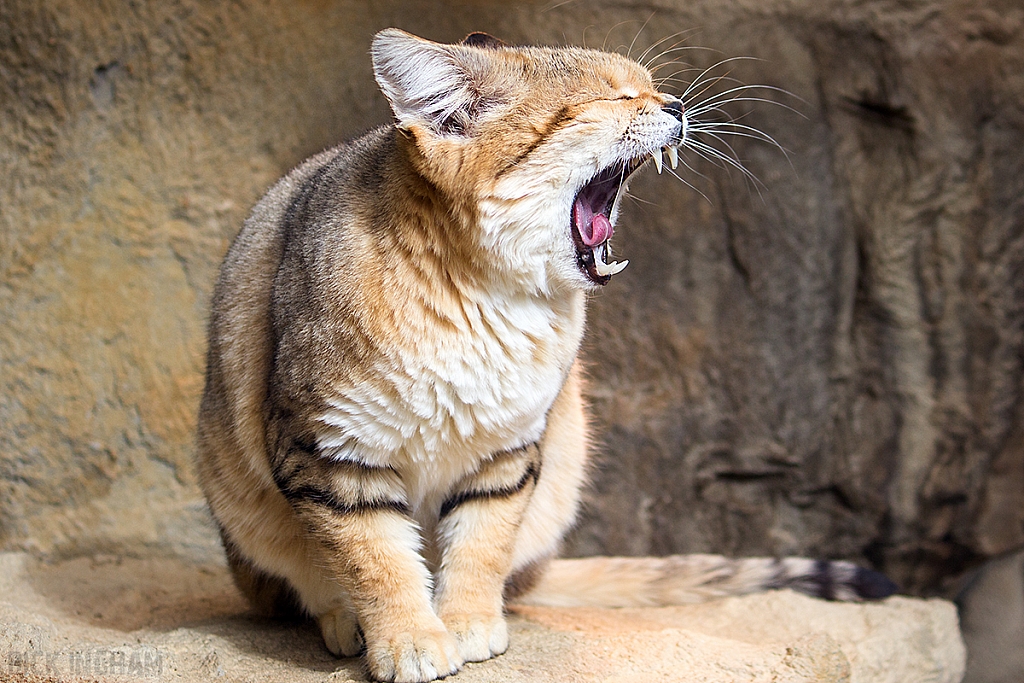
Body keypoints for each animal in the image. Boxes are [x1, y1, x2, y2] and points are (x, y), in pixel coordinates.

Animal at [193, 28, 897, 683]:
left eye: (647, 86)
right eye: (614, 97)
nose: (675, 104)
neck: (482, 294)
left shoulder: (506, 448)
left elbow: (481, 544)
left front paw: (468, 624)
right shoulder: (333, 450)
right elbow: (377, 559)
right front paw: (411, 639)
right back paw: (344, 622)